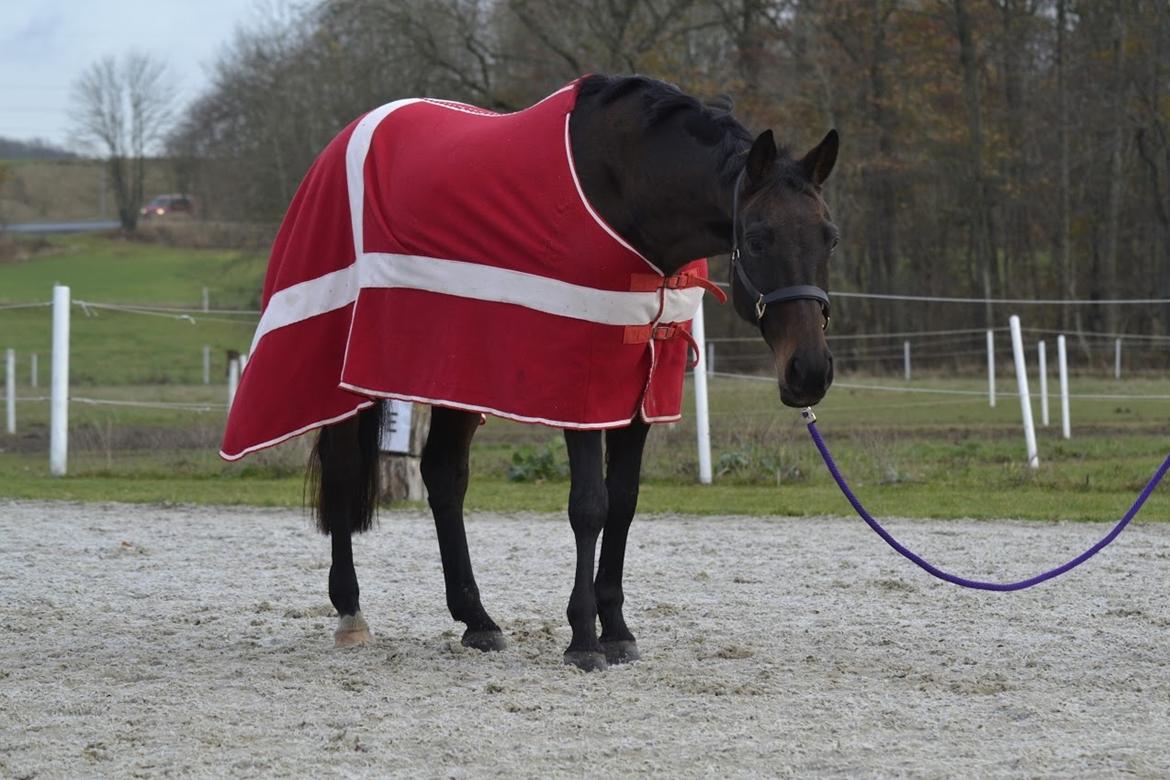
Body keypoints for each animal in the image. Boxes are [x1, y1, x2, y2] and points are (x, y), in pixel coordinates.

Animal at [297, 74, 837, 673]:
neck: (625, 197)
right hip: (351, 378)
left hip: (453, 373)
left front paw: (617, 630)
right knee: (345, 467)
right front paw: (583, 638)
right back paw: (351, 612)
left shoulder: (640, 393)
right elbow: (589, 506)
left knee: (443, 475)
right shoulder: (580, 390)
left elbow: (622, 502)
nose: (810, 372)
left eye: (829, 237)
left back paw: (477, 619)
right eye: (759, 238)